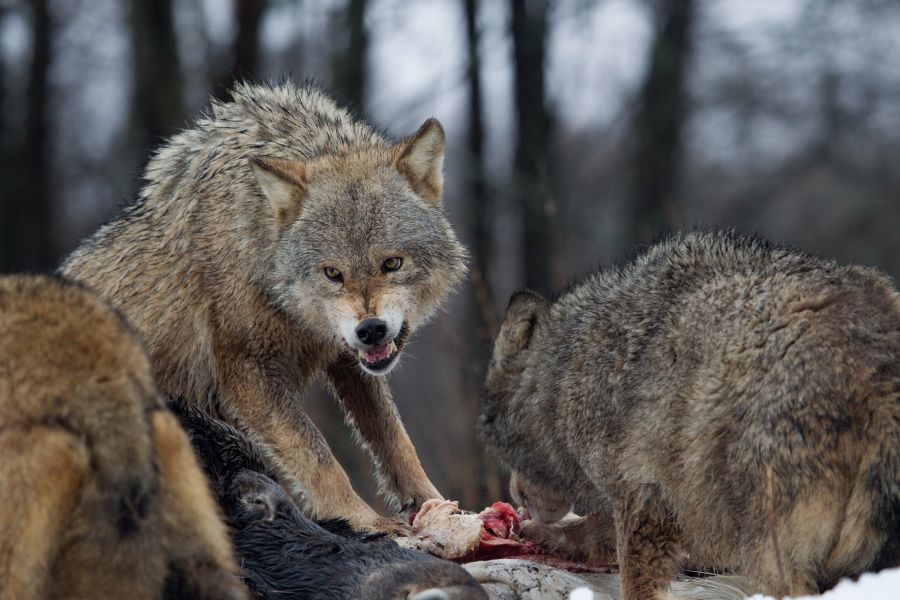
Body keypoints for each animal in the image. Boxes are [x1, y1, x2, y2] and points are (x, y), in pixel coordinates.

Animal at [62, 81, 468, 536]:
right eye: (332, 273)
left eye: (392, 264)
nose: (371, 330)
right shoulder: (246, 373)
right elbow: (320, 458)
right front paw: (362, 519)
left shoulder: (349, 359)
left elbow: (396, 439)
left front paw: (434, 504)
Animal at [478, 231, 900, 600]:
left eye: (503, 449)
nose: (515, 496)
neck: (567, 372)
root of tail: (878, 372)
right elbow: (591, 530)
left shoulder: (643, 498)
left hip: (773, 552)